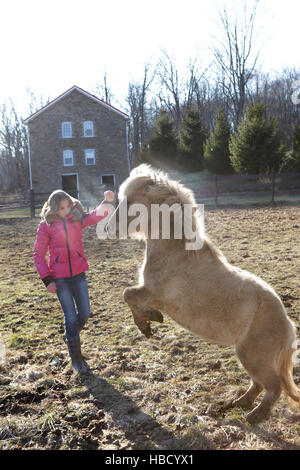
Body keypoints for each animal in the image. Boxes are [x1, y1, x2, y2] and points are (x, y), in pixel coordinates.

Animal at [105, 163, 300, 424]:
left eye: (128, 202)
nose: (108, 229)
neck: (176, 252)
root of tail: (288, 324)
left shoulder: (154, 294)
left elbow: (127, 294)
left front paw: (148, 323)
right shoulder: (150, 293)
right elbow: (128, 295)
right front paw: (150, 322)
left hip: (253, 357)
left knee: (273, 386)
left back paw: (254, 416)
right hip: (250, 357)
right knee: (258, 385)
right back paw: (237, 404)